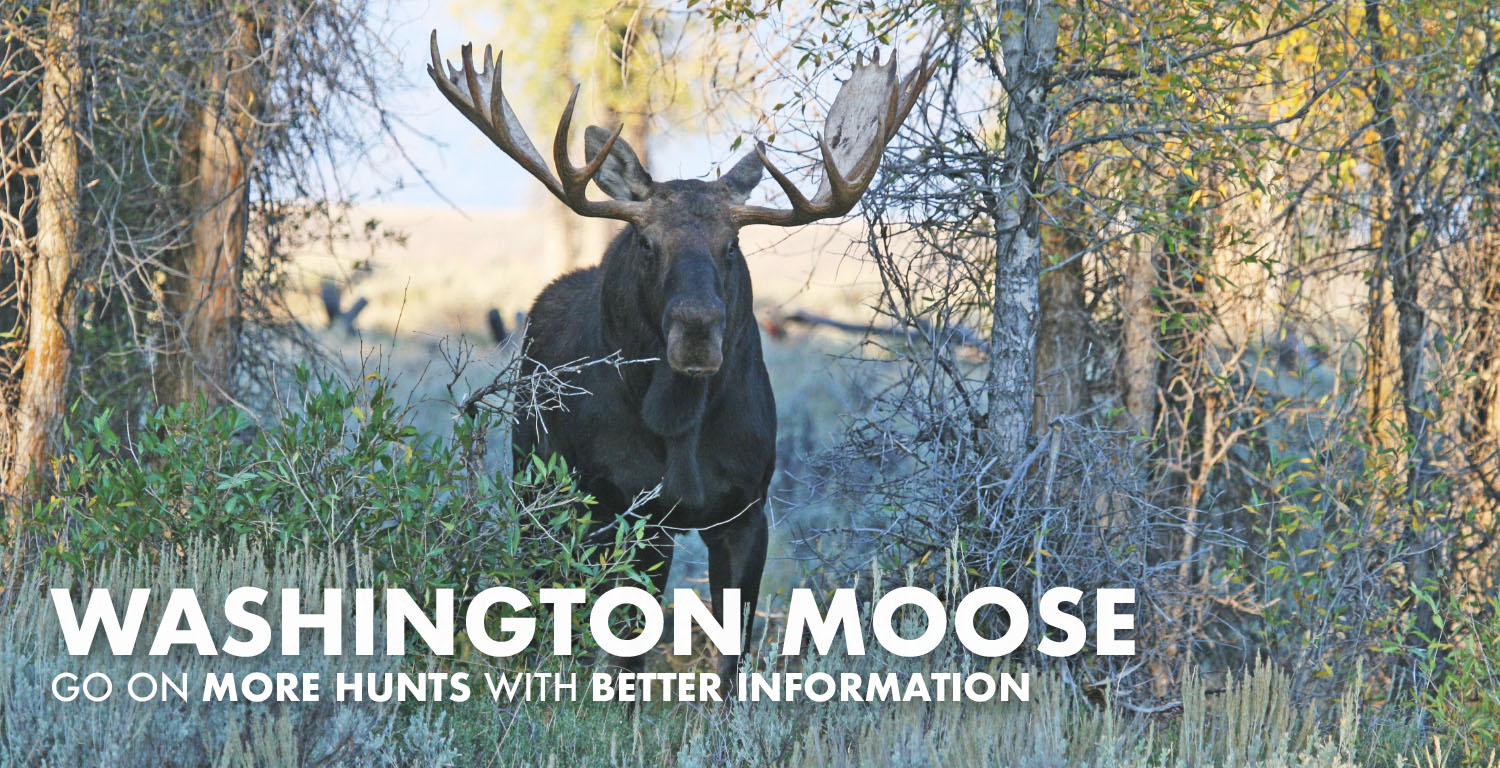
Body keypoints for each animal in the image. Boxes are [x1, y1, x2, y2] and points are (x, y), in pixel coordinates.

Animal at [428, 31, 933, 690]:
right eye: (648, 244)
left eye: (731, 245)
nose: (697, 329)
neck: (684, 426)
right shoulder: (628, 510)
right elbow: (625, 650)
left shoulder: (746, 509)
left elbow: (731, 652)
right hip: (539, 489)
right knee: (549, 603)